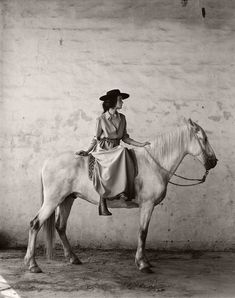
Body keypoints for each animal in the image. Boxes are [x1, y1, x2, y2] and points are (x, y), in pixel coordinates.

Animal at [23, 118, 217, 272]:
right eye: (205, 139)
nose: (214, 162)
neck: (154, 164)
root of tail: (47, 162)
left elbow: (142, 233)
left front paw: (144, 261)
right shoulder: (147, 205)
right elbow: (143, 232)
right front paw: (142, 264)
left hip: (66, 200)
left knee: (60, 226)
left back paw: (72, 258)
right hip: (53, 200)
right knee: (35, 224)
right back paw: (32, 264)